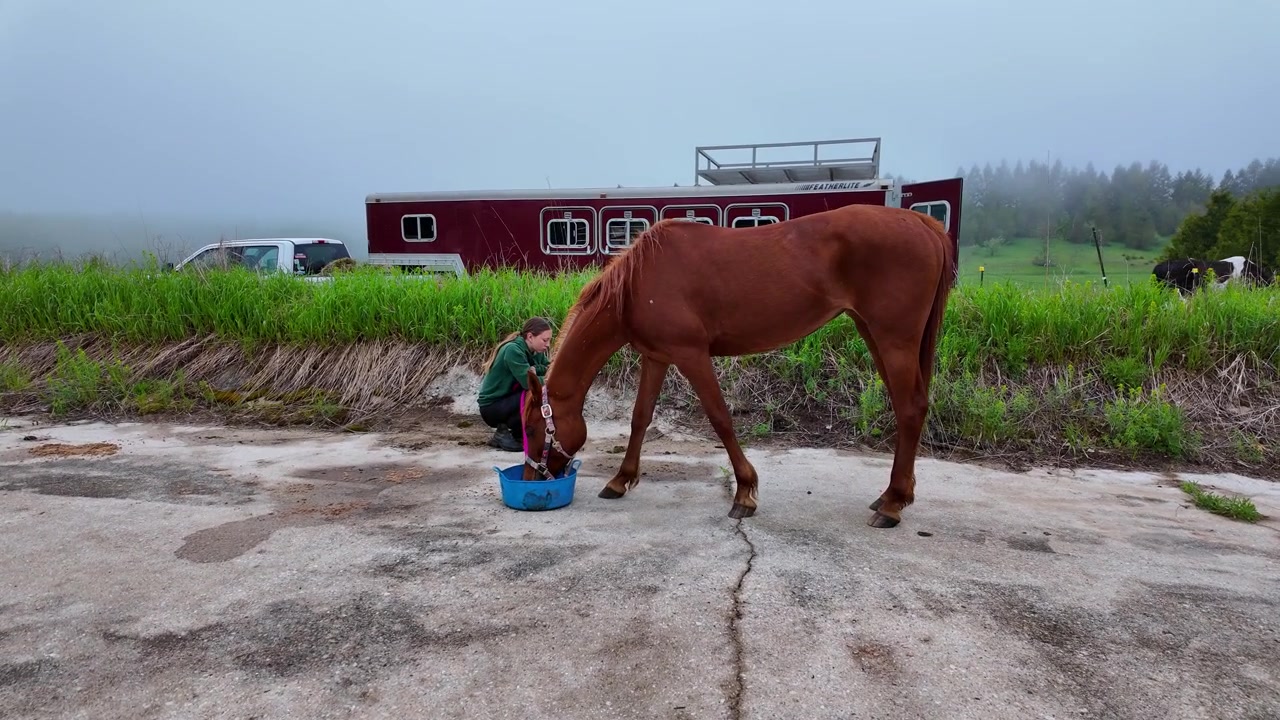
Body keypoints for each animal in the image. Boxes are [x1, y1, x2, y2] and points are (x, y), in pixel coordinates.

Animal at [516, 202, 956, 529]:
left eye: (534, 428)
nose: (531, 479)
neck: (638, 285)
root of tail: (922, 222)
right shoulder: (657, 357)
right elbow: (640, 418)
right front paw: (621, 479)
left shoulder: (691, 355)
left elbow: (720, 418)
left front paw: (744, 492)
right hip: (874, 333)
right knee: (908, 407)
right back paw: (892, 496)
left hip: (893, 339)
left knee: (911, 407)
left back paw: (893, 504)